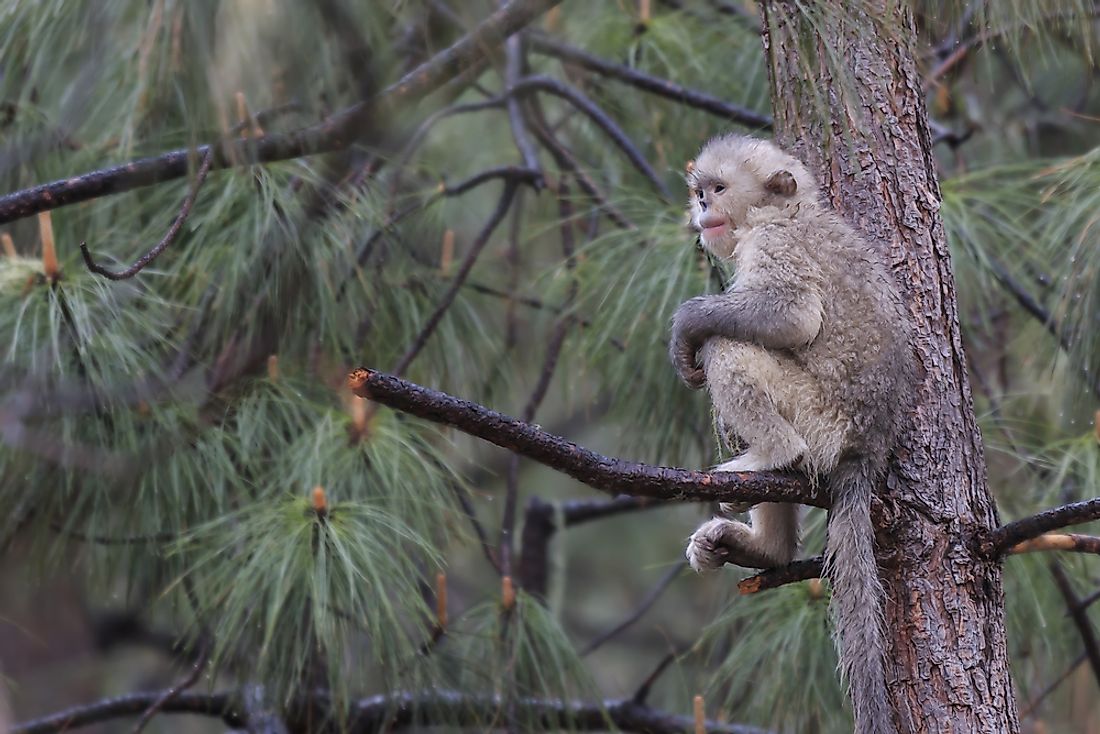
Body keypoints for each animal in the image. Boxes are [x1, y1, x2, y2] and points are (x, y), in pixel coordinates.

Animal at [664, 134, 915, 730]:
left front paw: (688, 325)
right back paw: (767, 549)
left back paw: (771, 453)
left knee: (730, 347)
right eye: (700, 191)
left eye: (719, 189)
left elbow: (791, 316)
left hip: (819, 419)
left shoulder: (776, 243)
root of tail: (867, 448)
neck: (787, 212)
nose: (701, 207)